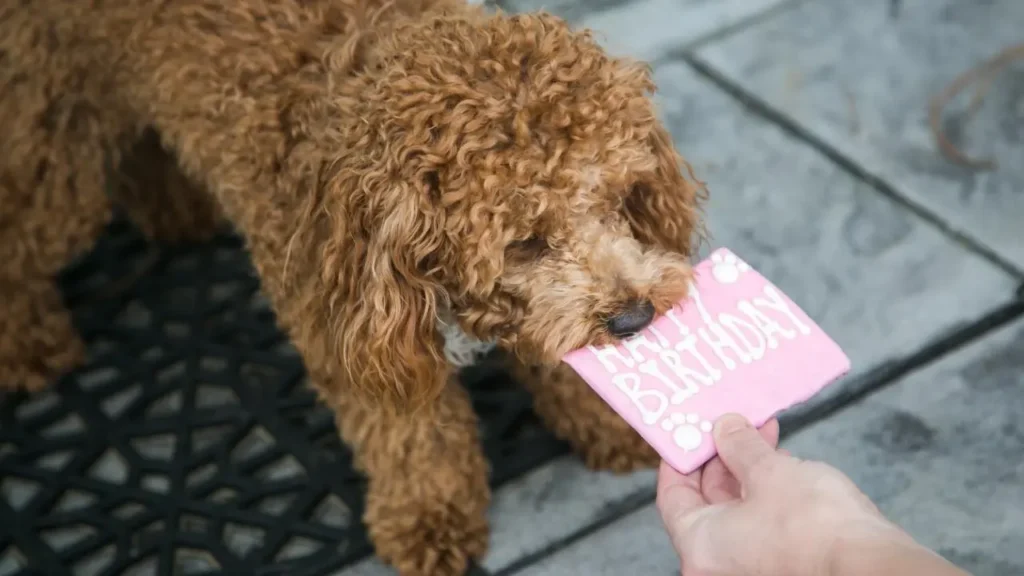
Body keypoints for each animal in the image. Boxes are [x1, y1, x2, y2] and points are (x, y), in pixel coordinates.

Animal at [0, 0, 704, 569]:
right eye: (524, 242)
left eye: (620, 198)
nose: (634, 318)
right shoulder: (351, 332)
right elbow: (412, 439)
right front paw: (428, 521)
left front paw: (613, 426)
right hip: (55, 124)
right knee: (22, 226)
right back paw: (29, 345)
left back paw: (176, 212)